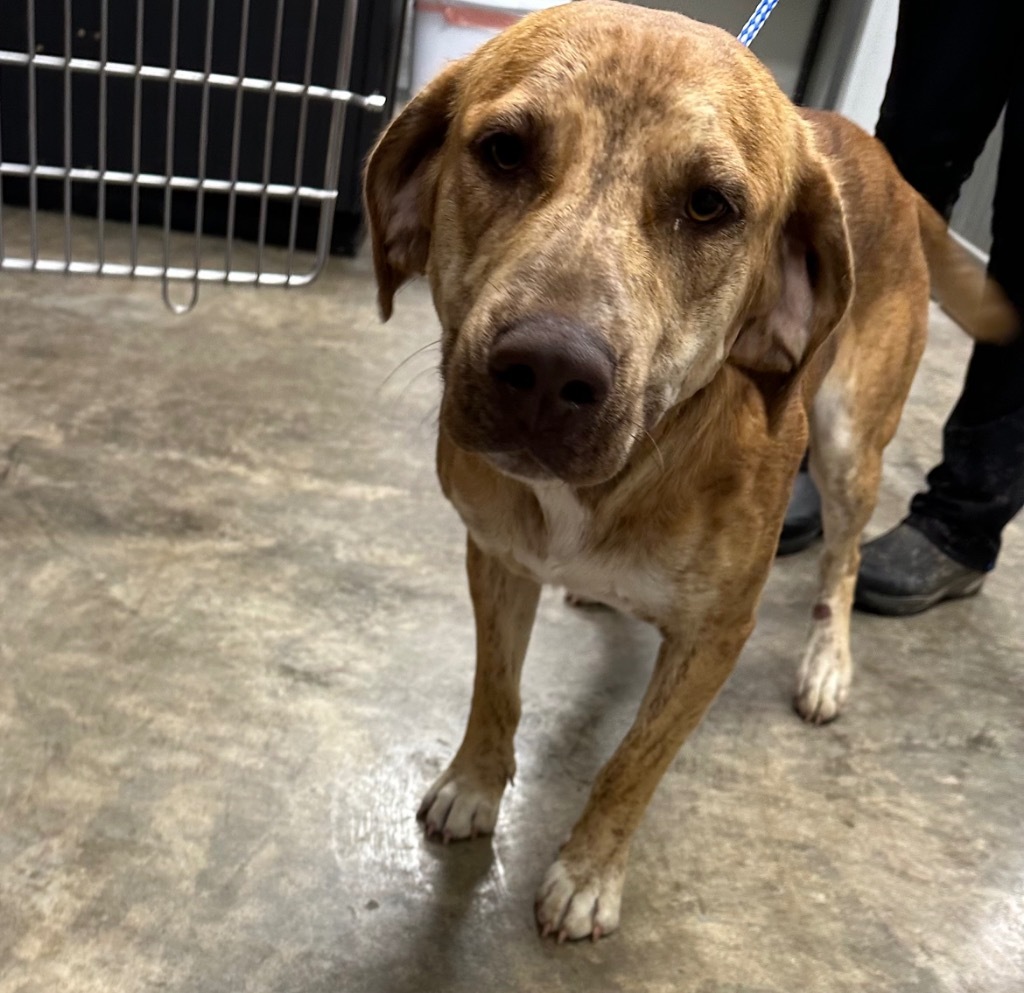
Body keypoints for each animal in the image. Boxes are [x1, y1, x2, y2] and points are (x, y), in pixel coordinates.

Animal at [362, 0, 1015, 937]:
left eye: (710, 206)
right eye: (504, 150)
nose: (547, 373)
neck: (617, 480)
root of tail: (871, 149)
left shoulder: (716, 636)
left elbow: (635, 759)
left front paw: (589, 870)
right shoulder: (498, 558)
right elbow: (496, 689)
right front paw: (476, 783)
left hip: (851, 444)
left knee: (844, 559)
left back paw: (829, 660)